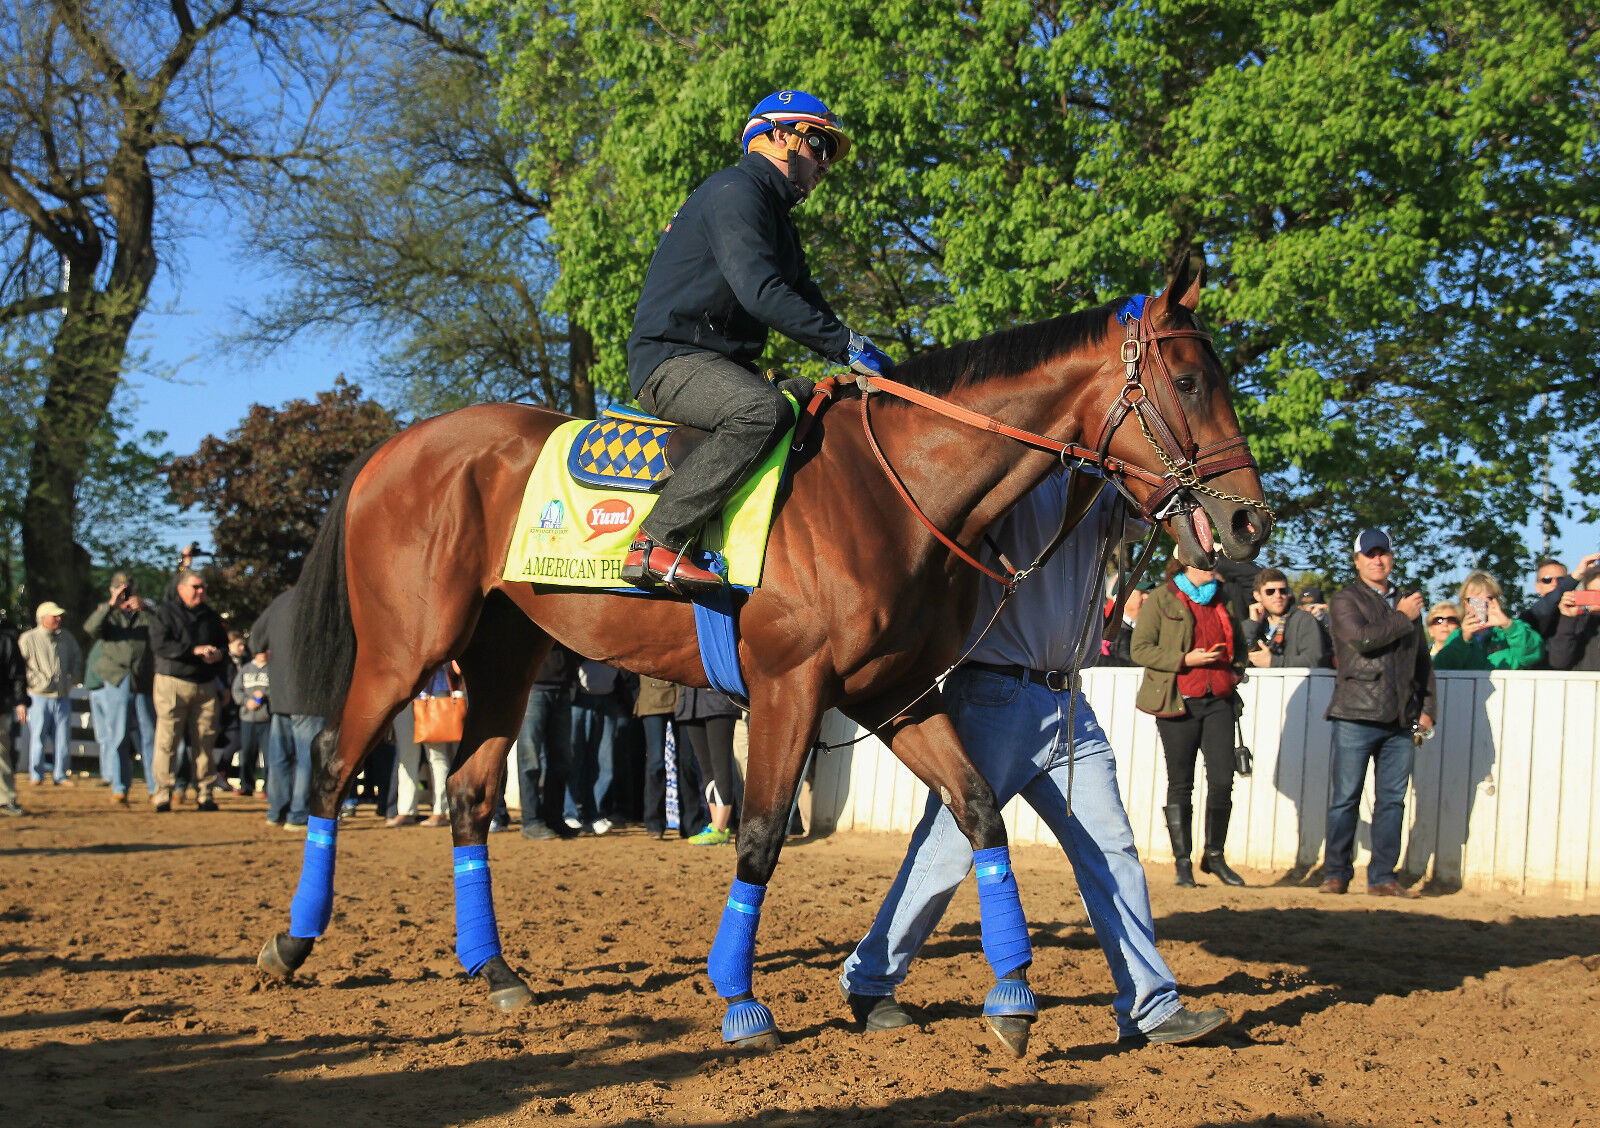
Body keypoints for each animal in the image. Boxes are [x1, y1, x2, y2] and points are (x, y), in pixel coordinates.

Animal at [256, 259, 1267, 1049]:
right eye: (1189, 382)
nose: (1249, 521)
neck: (894, 488)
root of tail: (395, 447)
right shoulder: (789, 686)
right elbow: (759, 834)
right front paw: (741, 1001)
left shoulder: (897, 692)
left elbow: (980, 810)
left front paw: (1012, 997)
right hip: (404, 652)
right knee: (333, 767)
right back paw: (291, 944)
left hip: (507, 654)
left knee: (470, 796)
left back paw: (496, 971)